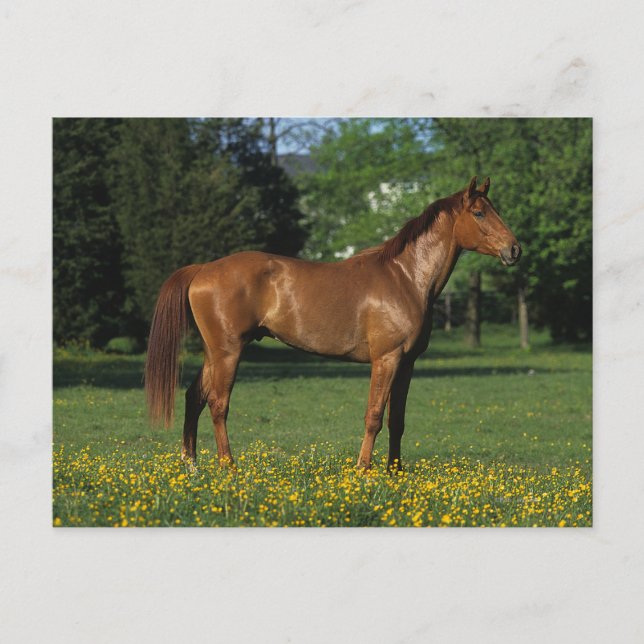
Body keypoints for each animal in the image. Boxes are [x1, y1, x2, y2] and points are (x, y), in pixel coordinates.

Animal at [144, 176, 521, 470]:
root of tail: (203, 269)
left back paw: (192, 465)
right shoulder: (386, 360)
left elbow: (397, 421)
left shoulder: (407, 363)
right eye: (479, 212)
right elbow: (374, 417)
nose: (514, 249)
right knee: (218, 405)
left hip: (214, 353)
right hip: (228, 353)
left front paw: (395, 473)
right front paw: (363, 470)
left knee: (194, 397)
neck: (405, 278)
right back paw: (229, 467)